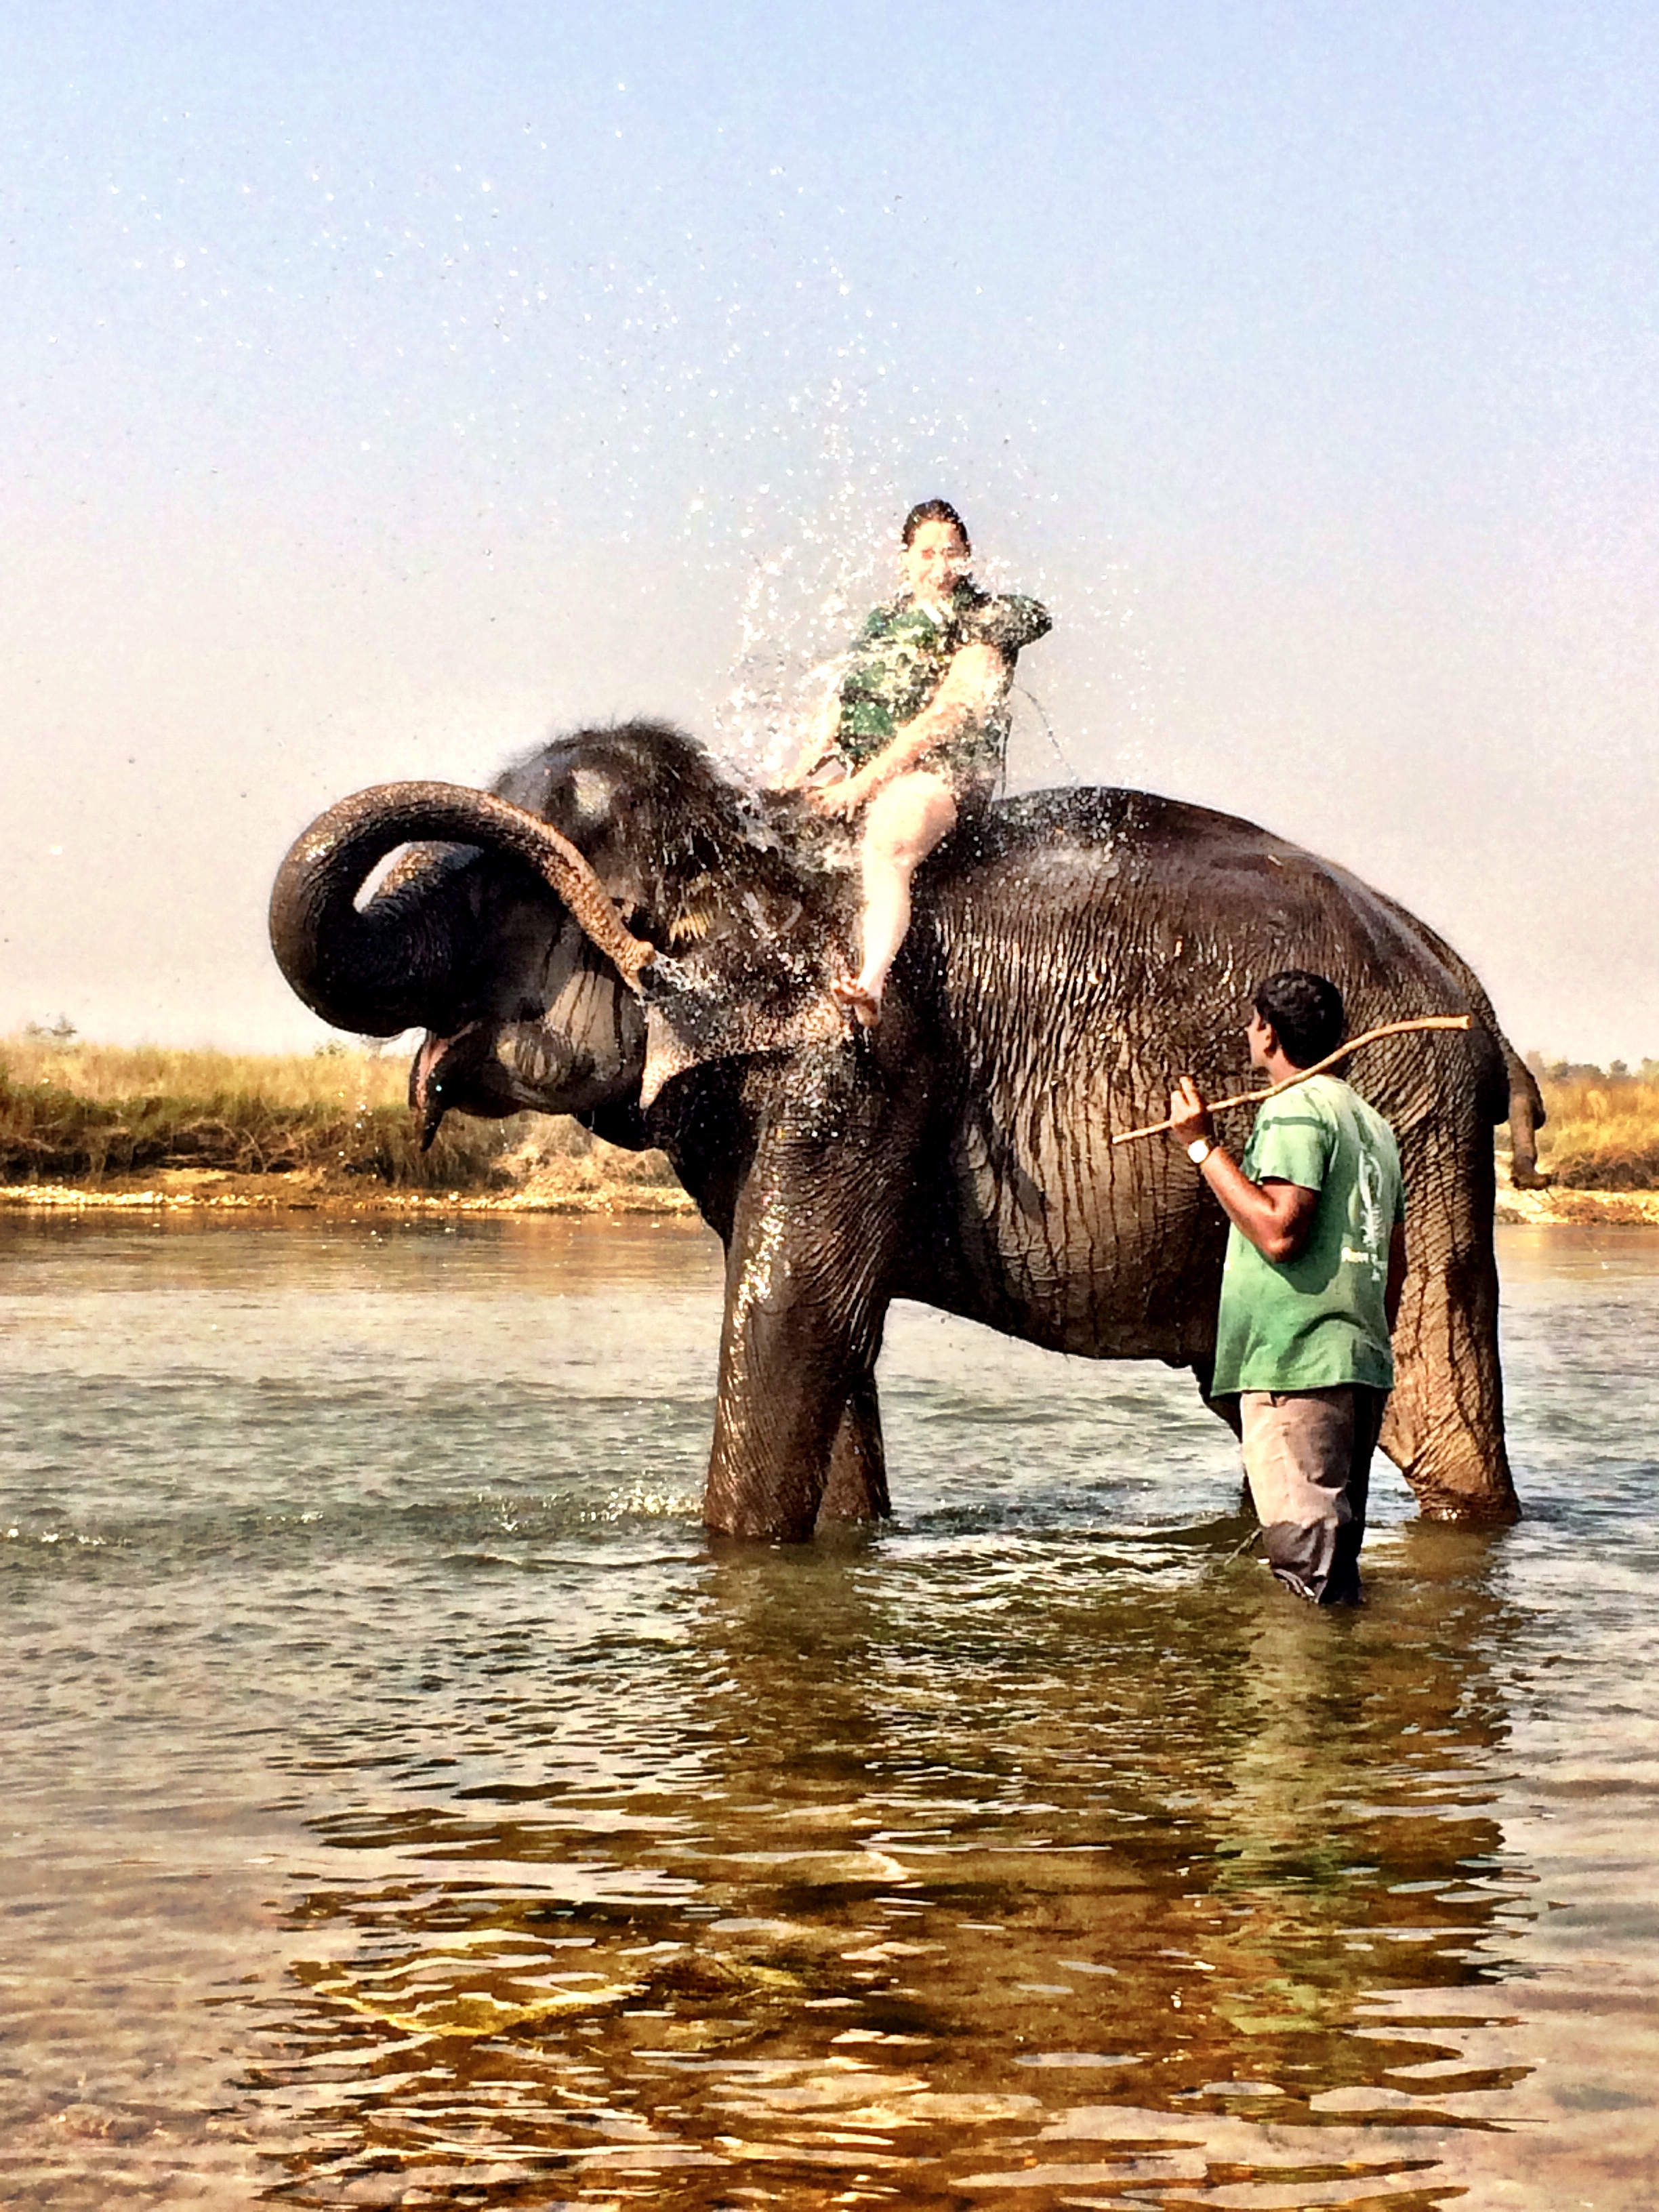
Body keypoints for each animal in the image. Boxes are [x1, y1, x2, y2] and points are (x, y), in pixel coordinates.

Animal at [270, 720, 1542, 1540]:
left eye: (509, 894)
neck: (761, 848)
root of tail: (1476, 1003)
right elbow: (817, 1329)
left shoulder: (865, 1060)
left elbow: (793, 1315)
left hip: (1412, 1125)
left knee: (1435, 1405)